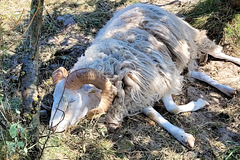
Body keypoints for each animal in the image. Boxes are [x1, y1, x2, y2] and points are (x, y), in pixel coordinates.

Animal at [49, 3, 240, 148]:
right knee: (197, 73)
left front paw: (199, 103)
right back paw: (227, 89)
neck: (113, 65)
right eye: (54, 99)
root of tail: (138, 3)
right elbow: (154, 115)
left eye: (72, 100)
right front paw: (183, 135)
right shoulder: (135, 93)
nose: (51, 128)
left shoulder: (162, 78)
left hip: (192, 40)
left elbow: (172, 108)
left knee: (218, 53)